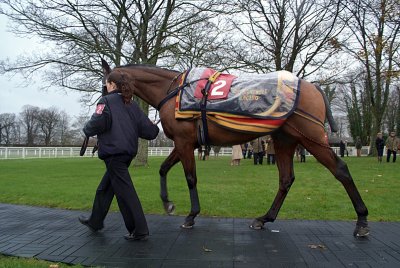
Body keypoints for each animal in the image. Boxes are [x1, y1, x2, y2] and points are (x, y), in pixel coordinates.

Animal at [101, 60, 370, 237]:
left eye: (107, 85)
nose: (102, 103)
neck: (173, 90)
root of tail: (313, 87)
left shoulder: (184, 141)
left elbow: (190, 178)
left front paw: (191, 215)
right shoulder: (184, 142)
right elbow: (164, 169)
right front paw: (168, 203)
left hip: (312, 138)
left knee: (340, 170)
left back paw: (362, 221)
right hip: (285, 140)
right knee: (286, 179)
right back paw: (264, 219)